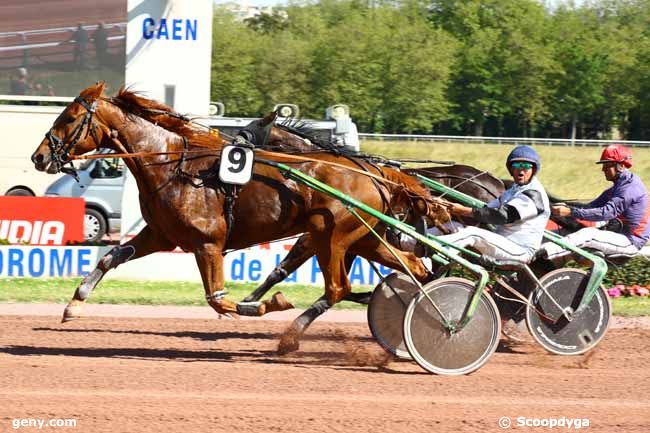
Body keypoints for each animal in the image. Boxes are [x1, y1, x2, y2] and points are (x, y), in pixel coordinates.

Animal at [30, 82, 446, 352]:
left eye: (70, 117)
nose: (39, 156)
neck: (174, 165)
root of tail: (372, 170)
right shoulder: (161, 235)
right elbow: (110, 257)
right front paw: (73, 305)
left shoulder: (207, 243)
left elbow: (218, 300)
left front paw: (269, 304)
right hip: (365, 239)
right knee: (414, 267)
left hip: (331, 237)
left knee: (338, 288)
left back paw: (292, 336)